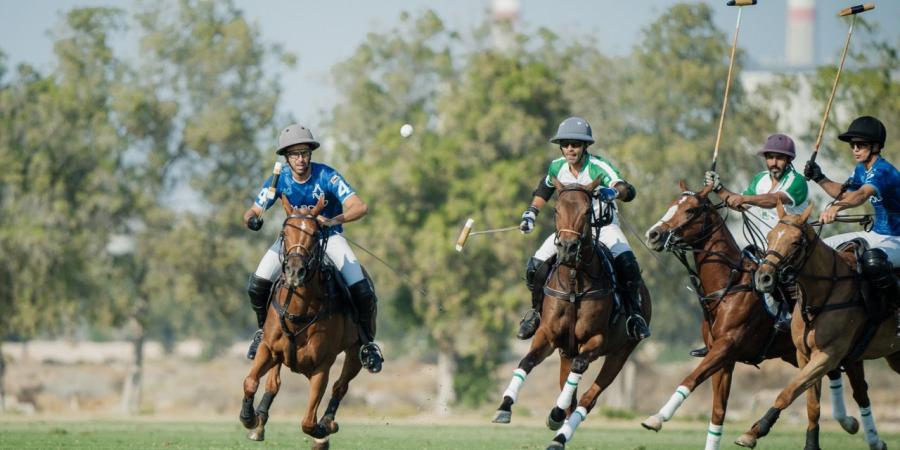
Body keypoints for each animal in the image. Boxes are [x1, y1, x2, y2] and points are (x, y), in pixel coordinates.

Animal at [243, 196, 366, 450]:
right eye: (284, 232)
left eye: (316, 234)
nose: (294, 271)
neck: (299, 309)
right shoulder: (269, 349)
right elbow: (251, 381)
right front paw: (249, 418)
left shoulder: (322, 365)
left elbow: (308, 421)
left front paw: (323, 429)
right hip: (279, 356)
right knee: (273, 383)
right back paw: (259, 423)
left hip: (354, 352)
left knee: (340, 386)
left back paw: (327, 423)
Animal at [492, 178, 652, 450]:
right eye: (557, 210)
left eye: (588, 211)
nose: (567, 248)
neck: (575, 283)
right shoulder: (548, 335)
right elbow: (526, 362)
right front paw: (505, 406)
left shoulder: (596, 340)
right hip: (566, 351)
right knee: (571, 393)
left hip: (621, 352)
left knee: (587, 398)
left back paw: (559, 432)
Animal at [644, 183, 860, 450]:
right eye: (671, 205)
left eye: (691, 210)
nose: (653, 235)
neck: (728, 285)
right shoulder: (723, 356)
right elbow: (718, 411)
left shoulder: (726, 346)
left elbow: (691, 378)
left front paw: (656, 418)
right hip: (796, 353)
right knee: (828, 374)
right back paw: (847, 421)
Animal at [736, 201, 896, 450]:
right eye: (770, 237)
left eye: (795, 242)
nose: (763, 278)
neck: (820, 296)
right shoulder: (804, 355)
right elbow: (811, 404)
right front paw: (810, 444)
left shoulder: (827, 355)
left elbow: (788, 392)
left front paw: (756, 430)